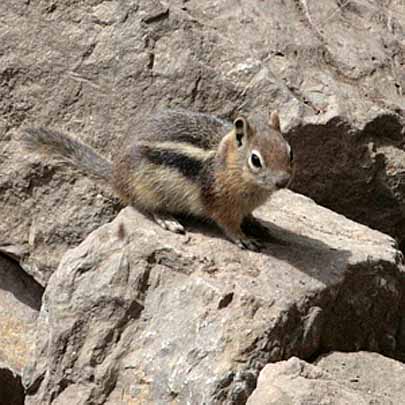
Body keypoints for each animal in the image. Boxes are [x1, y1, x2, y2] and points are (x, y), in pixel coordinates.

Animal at [22, 110, 292, 249]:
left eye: (290, 151)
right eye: (256, 160)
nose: (283, 182)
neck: (227, 164)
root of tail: (116, 175)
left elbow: (249, 216)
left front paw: (258, 224)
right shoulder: (220, 204)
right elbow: (228, 225)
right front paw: (244, 238)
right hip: (146, 188)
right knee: (145, 207)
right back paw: (167, 219)